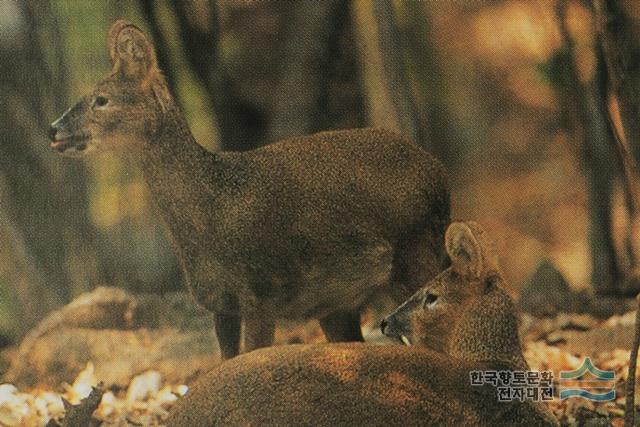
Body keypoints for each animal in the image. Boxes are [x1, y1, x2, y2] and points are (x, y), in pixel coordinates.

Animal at [47, 20, 450, 362]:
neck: (212, 206)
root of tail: (439, 172)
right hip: (340, 305)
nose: (53, 129)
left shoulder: (261, 293)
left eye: (101, 99)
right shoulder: (220, 306)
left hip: (417, 254)